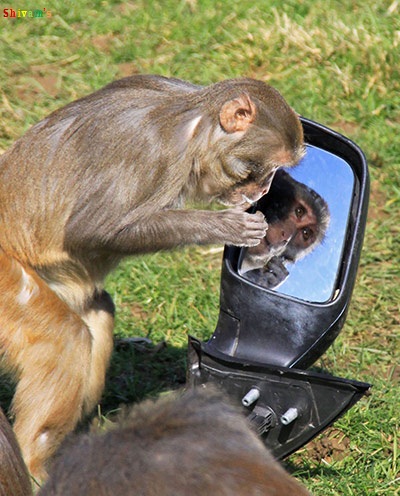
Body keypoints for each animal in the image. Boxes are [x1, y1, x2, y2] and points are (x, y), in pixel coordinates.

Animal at [0, 71, 304, 478]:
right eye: (268, 168)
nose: (266, 188)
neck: (195, 125)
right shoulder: (154, 149)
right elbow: (90, 230)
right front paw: (225, 227)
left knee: (98, 312)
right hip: (8, 281)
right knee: (66, 337)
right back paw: (36, 464)